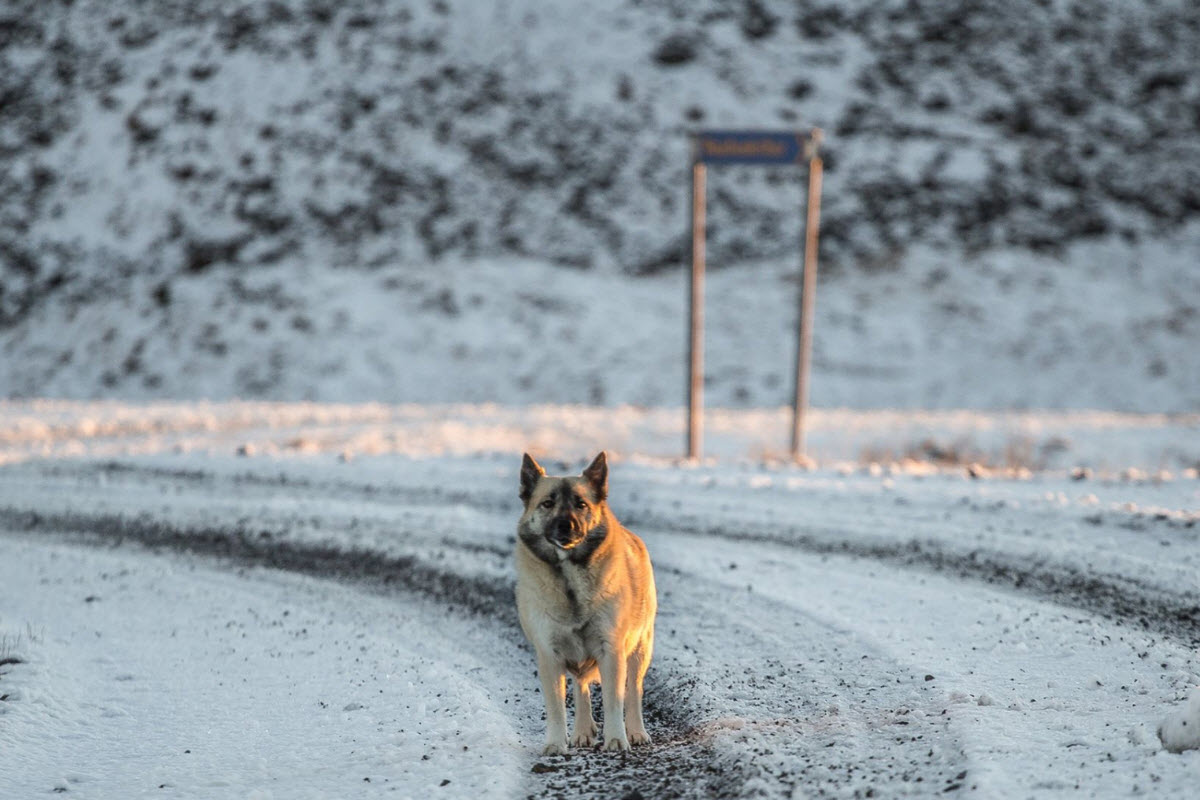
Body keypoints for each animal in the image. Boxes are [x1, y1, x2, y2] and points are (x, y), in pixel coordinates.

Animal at [516, 453, 662, 753]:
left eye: (581, 504)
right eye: (548, 503)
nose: (566, 526)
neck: (570, 579)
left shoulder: (611, 651)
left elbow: (614, 700)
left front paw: (616, 739)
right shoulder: (549, 654)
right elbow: (557, 707)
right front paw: (556, 744)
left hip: (640, 649)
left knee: (634, 692)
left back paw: (636, 732)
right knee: (580, 685)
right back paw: (582, 731)